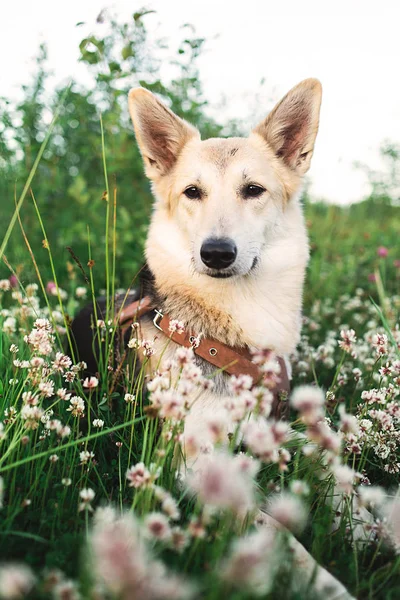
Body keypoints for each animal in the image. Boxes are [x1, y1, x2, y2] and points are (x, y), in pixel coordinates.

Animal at [71, 76, 322, 468]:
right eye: (192, 192)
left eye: (253, 190)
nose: (216, 253)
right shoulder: (191, 459)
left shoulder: (272, 427)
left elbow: (329, 455)